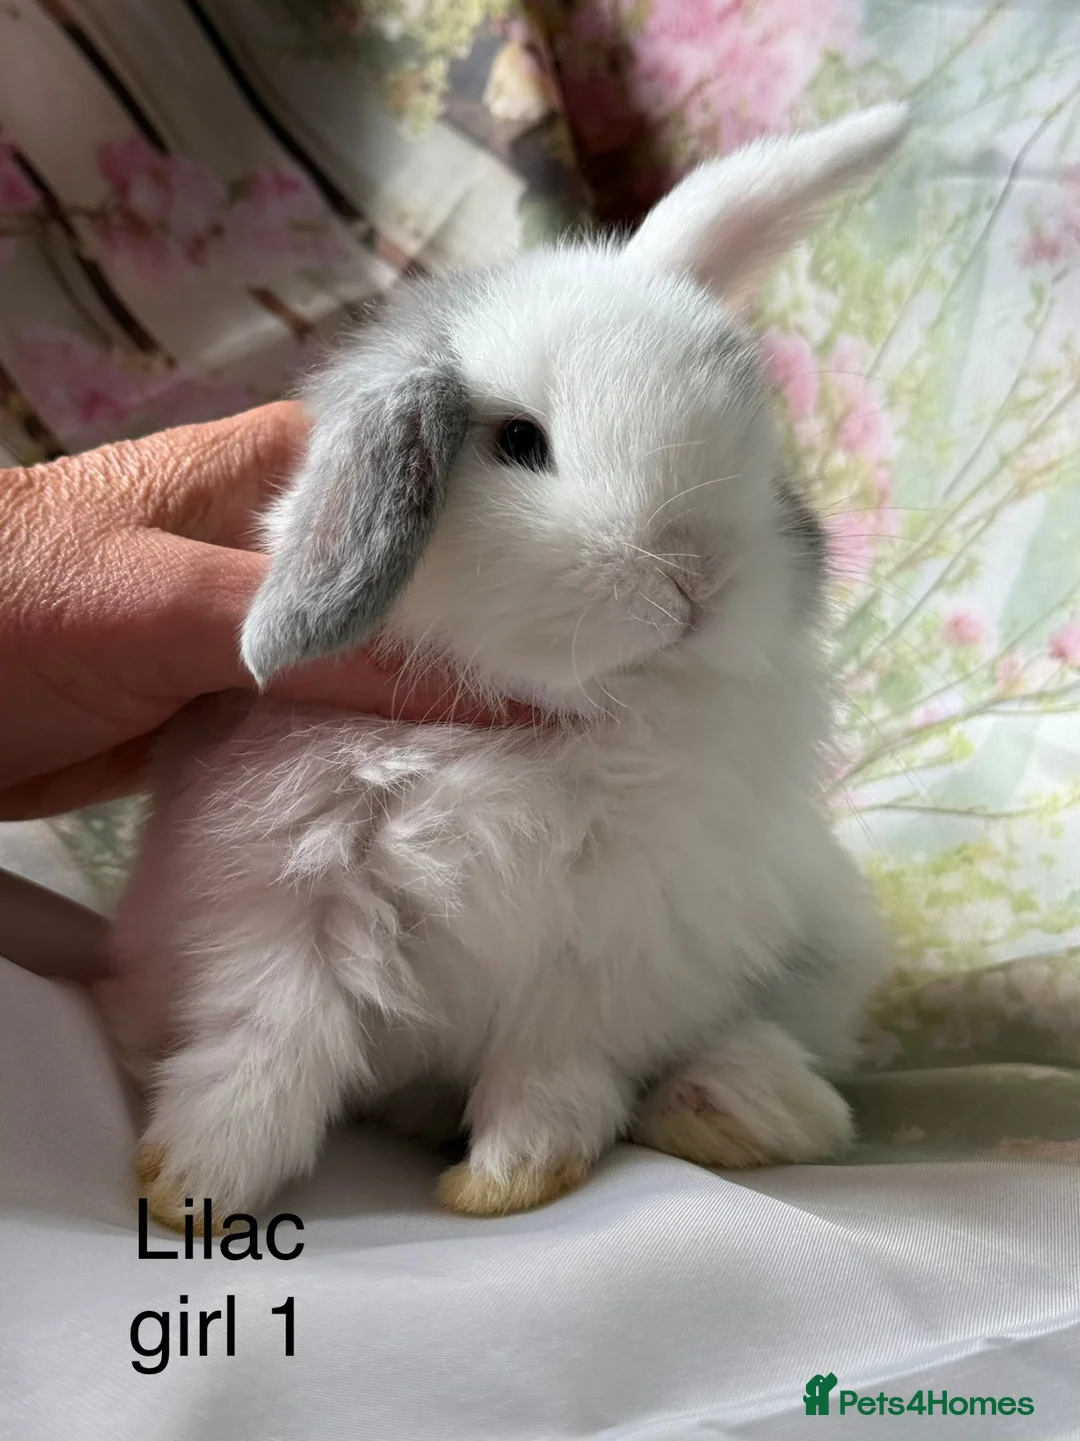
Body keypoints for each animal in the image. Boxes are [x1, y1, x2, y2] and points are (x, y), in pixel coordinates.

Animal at [103, 103, 908, 1231]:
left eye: (754, 437)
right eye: (520, 441)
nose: (698, 575)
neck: (537, 727)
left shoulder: (610, 949)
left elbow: (552, 1072)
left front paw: (508, 1180)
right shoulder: (284, 904)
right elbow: (265, 1050)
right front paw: (193, 1187)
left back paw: (747, 1104)